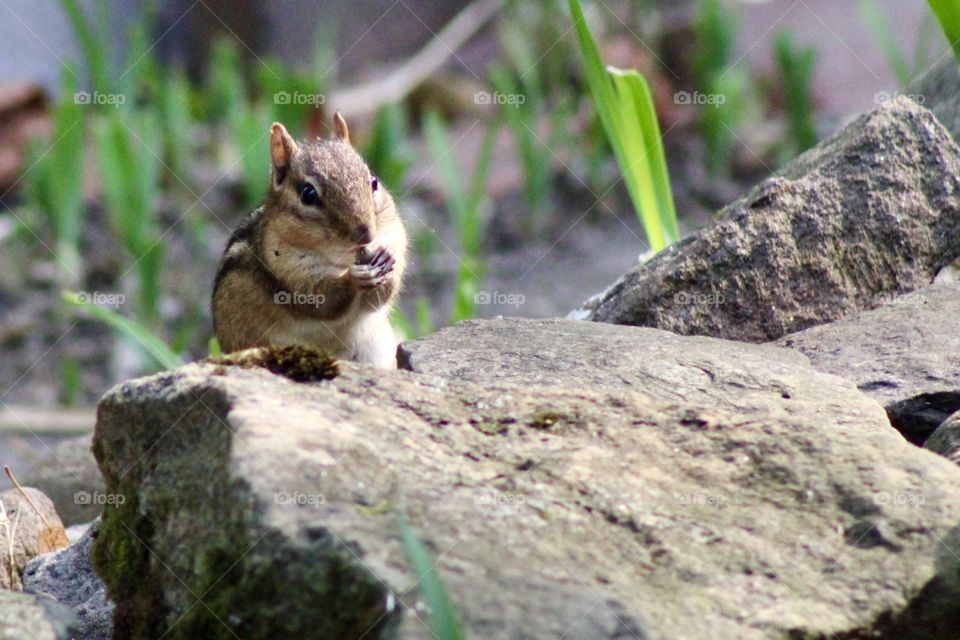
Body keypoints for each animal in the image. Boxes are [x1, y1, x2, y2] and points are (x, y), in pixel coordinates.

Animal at [211, 112, 408, 369]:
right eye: (308, 194)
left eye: (373, 182)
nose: (367, 234)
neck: (342, 257)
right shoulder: (286, 270)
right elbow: (321, 300)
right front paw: (354, 278)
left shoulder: (394, 231)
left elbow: (382, 295)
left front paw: (386, 256)